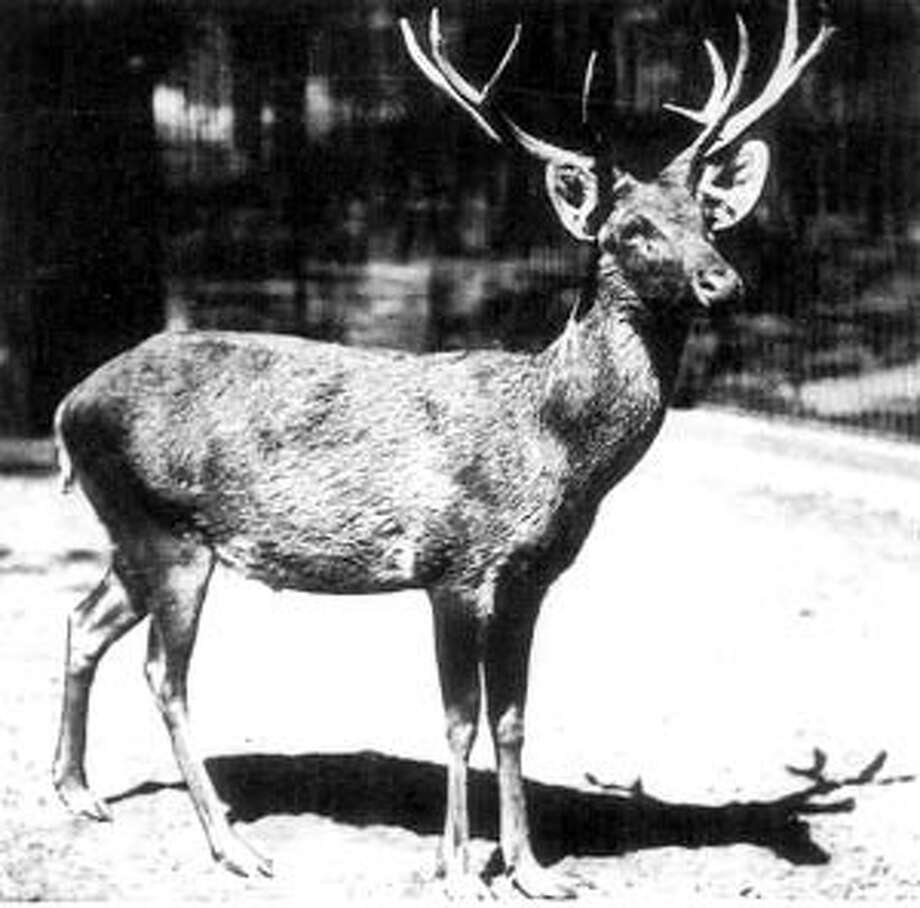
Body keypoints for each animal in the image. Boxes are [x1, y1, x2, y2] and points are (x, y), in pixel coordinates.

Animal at [51, 1, 833, 899]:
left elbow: (513, 718)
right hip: (169, 531)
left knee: (84, 619)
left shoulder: (531, 578)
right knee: (165, 674)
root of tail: (69, 405)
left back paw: (77, 792)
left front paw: (533, 869)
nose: (723, 282)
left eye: (707, 219)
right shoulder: (453, 565)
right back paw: (234, 847)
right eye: (631, 230)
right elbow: (458, 720)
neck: (554, 452)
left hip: (132, 532)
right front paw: (458, 869)